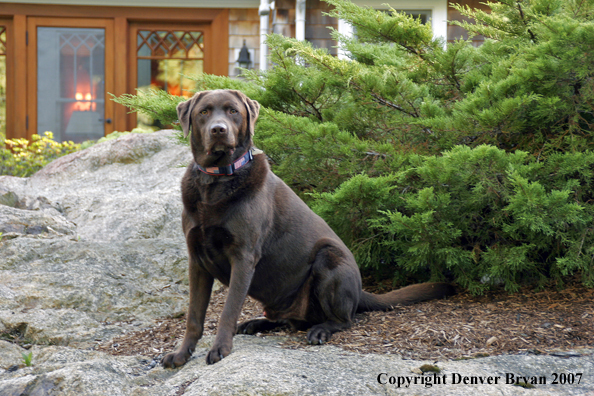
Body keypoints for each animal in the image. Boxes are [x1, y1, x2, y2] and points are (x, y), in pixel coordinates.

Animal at [160, 89, 450, 368]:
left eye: (233, 111)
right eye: (204, 112)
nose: (218, 129)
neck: (216, 181)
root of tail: (360, 290)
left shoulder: (242, 257)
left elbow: (228, 310)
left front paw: (220, 348)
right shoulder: (197, 260)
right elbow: (194, 316)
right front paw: (181, 355)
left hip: (329, 259)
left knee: (345, 320)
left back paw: (320, 330)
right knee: (285, 320)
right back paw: (256, 323)